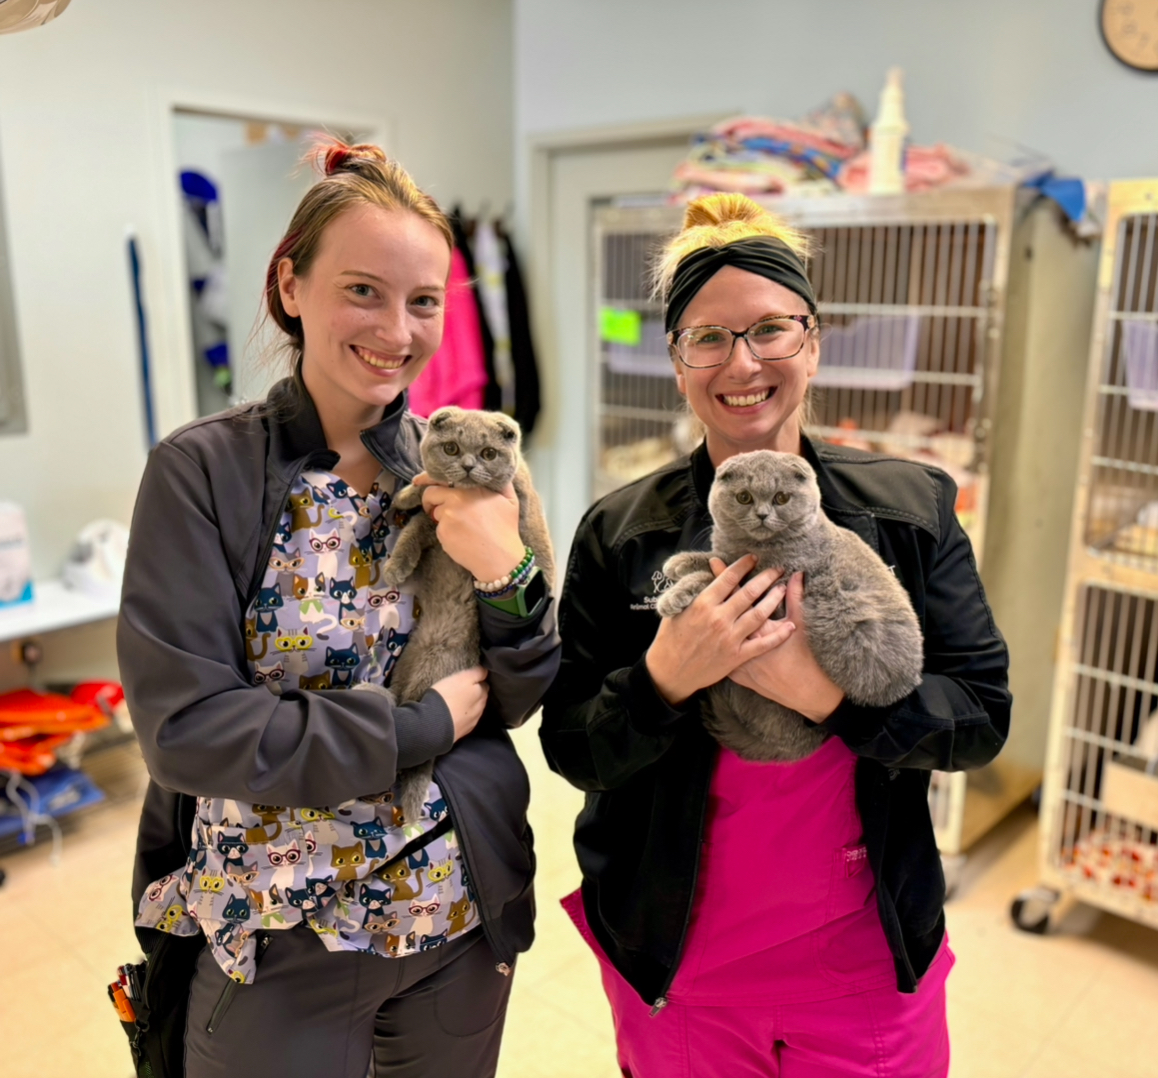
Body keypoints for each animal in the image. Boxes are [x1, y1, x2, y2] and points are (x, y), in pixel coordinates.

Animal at [370, 409, 551, 819]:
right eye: (452, 448)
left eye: (488, 453)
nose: (468, 465)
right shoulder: (437, 511)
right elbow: (424, 492)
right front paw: (408, 492)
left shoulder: (454, 517)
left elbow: (417, 523)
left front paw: (396, 568)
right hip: (407, 666)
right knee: (401, 702)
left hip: (434, 668)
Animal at [662, 451, 921, 764]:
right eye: (744, 497)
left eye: (782, 498)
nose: (762, 514)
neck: (755, 548)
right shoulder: (734, 557)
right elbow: (719, 561)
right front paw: (680, 562)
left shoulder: (772, 586)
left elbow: (721, 576)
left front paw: (674, 594)